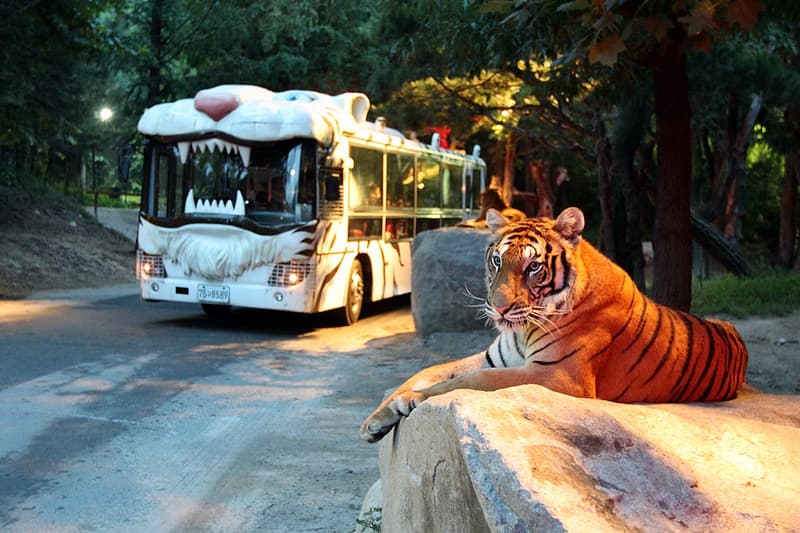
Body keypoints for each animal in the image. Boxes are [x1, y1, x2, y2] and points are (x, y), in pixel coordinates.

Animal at [360, 206, 748, 442]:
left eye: (533, 267)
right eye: (497, 260)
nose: (498, 308)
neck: (523, 329)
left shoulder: (558, 375)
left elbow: (472, 381)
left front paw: (410, 400)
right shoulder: (492, 357)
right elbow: (429, 370)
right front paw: (375, 419)